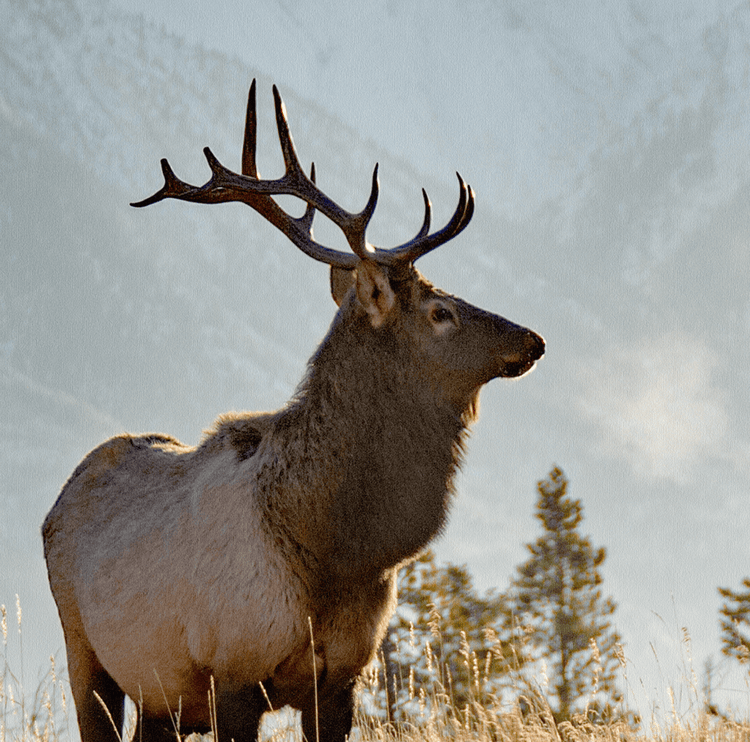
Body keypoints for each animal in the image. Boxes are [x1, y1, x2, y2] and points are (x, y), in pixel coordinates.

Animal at [42, 81, 544, 742]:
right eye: (441, 312)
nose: (533, 339)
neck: (334, 552)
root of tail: (57, 502)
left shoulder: (341, 677)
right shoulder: (232, 670)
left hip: (159, 697)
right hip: (86, 654)